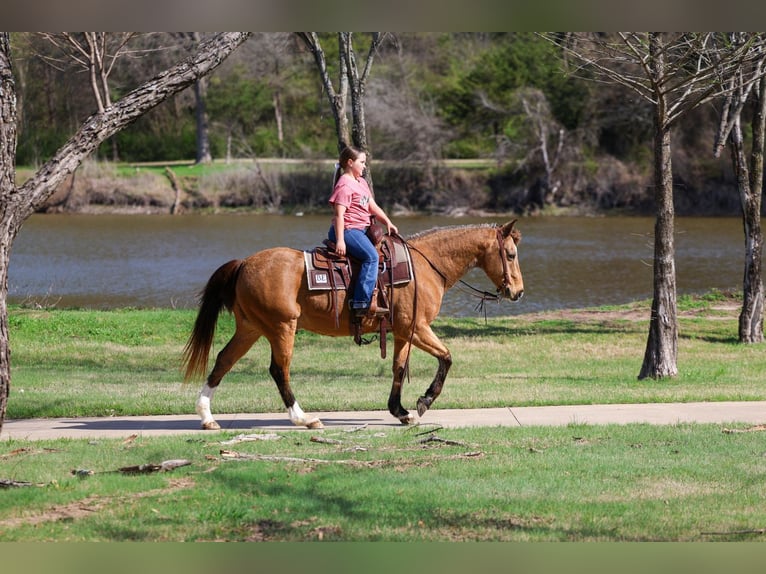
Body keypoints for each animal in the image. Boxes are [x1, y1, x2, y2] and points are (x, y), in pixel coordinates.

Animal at [182, 221, 524, 430]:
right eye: (510, 254)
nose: (518, 292)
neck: (424, 266)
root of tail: (245, 264)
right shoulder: (417, 328)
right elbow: (447, 357)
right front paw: (424, 401)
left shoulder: (403, 332)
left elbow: (399, 368)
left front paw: (400, 411)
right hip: (282, 328)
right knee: (279, 370)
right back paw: (303, 418)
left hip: (250, 328)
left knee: (223, 360)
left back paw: (207, 417)